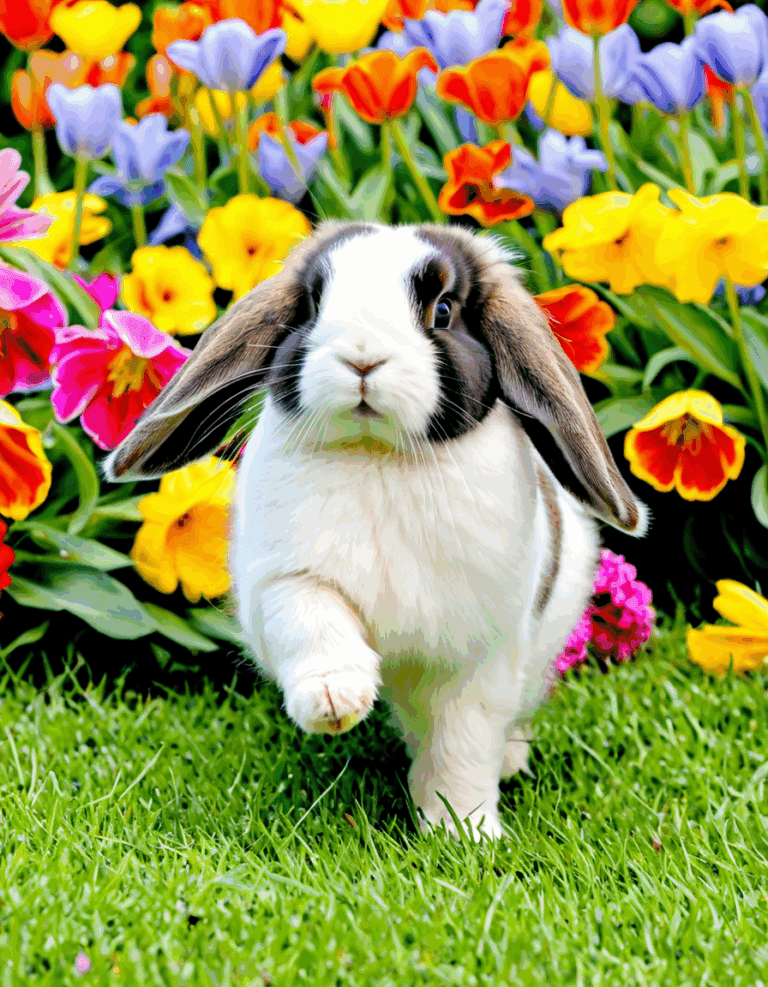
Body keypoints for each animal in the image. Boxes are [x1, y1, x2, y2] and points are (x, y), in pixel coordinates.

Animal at [104, 220, 648, 842]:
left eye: (442, 310)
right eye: (313, 304)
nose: (362, 358)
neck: (379, 456)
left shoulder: (477, 654)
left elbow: (462, 741)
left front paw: (464, 831)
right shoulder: (285, 581)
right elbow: (313, 621)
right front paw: (334, 701)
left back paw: (509, 760)